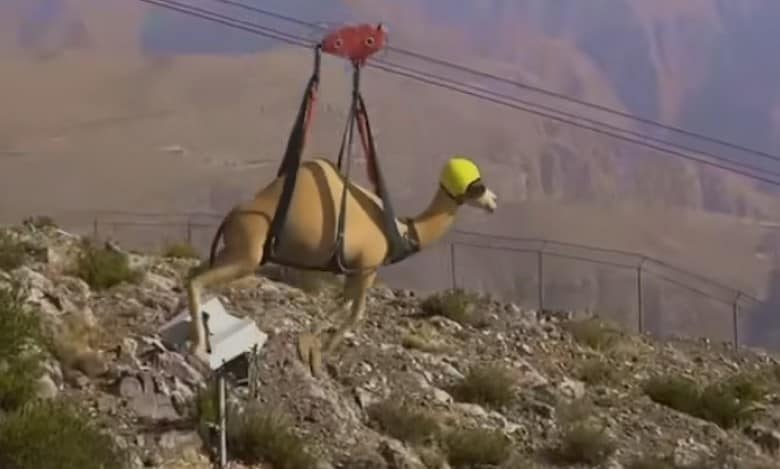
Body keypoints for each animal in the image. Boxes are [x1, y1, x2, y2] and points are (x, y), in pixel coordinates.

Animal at [185, 155, 498, 376]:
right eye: (478, 186)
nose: (493, 202)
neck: (403, 232)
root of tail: (230, 217)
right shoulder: (367, 267)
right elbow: (356, 312)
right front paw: (322, 353)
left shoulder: (352, 269)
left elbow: (340, 301)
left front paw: (309, 343)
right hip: (248, 254)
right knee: (197, 280)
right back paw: (199, 348)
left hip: (232, 250)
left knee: (193, 273)